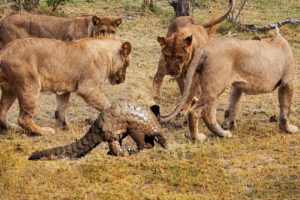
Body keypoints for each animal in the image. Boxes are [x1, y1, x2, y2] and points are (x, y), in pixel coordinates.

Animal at [0, 36, 131, 135]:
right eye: (127, 64)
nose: (123, 80)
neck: (108, 55)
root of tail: (4, 51)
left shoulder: (63, 90)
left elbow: (61, 110)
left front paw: (65, 127)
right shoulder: (89, 89)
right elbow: (107, 105)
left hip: (9, 90)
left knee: (2, 114)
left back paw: (13, 128)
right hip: (30, 85)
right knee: (23, 119)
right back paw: (44, 131)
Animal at [159, 33, 298, 141]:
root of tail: (205, 48)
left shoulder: (237, 87)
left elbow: (231, 107)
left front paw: (228, 125)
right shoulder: (287, 82)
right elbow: (285, 109)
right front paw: (288, 129)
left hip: (209, 85)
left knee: (208, 113)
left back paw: (223, 133)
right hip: (215, 86)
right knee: (196, 112)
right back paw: (199, 137)